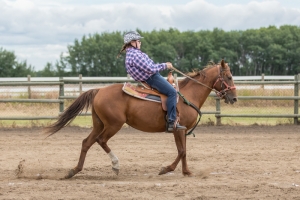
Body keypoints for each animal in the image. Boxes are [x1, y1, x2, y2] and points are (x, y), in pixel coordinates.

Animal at [44, 59, 237, 178]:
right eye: (228, 77)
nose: (234, 98)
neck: (188, 95)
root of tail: (99, 90)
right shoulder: (177, 128)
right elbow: (181, 151)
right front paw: (166, 169)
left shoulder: (182, 130)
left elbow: (184, 151)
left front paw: (187, 172)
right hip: (113, 125)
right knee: (101, 140)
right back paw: (115, 165)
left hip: (99, 124)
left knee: (86, 142)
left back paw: (73, 171)